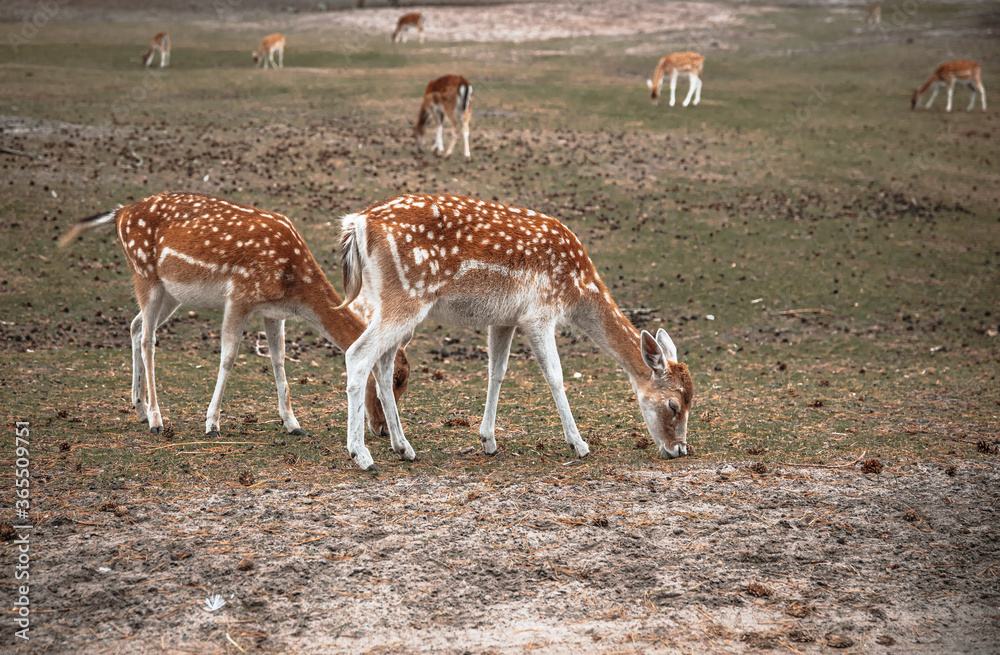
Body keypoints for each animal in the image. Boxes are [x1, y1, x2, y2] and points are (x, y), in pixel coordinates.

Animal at [60, 193, 410, 440]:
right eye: (393, 378)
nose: (381, 428)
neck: (294, 283)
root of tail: (119, 213)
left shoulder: (273, 311)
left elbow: (279, 360)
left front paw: (293, 423)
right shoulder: (239, 296)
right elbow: (228, 357)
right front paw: (212, 424)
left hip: (170, 292)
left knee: (134, 326)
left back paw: (140, 409)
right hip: (144, 274)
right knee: (148, 338)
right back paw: (157, 420)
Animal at [336, 193, 696, 472]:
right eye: (673, 406)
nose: (679, 449)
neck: (577, 288)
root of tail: (357, 224)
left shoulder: (504, 318)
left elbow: (497, 371)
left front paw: (488, 441)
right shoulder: (539, 313)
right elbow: (555, 375)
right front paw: (579, 444)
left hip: (387, 299)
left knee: (383, 365)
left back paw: (404, 448)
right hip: (407, 296)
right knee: (358, 354)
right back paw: (362, 455)